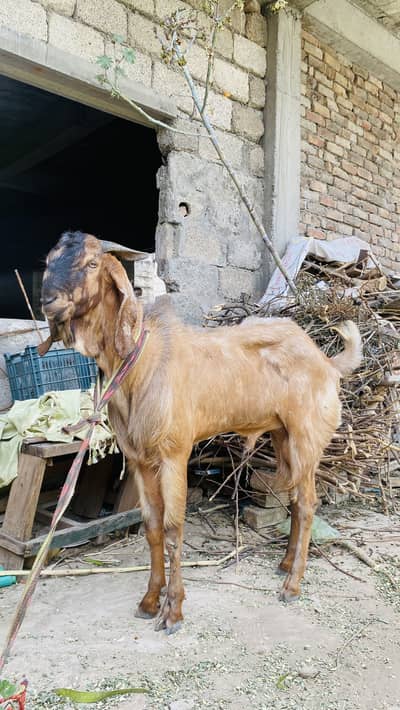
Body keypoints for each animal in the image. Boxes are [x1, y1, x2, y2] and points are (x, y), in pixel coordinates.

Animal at [41, 231, 362, 634]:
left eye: (92, 263)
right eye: (48, 260)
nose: (47, 301)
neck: (140, 363)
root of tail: (326, 362)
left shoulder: (173, 453)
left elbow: (174, 526)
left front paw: (173, 611)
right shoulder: (139, 459)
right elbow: (152, 526)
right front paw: (150, 601)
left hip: (308, 436)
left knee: (306, 504)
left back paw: (292, 585)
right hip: (283, 436)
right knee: (292, 499)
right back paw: (285, 564)